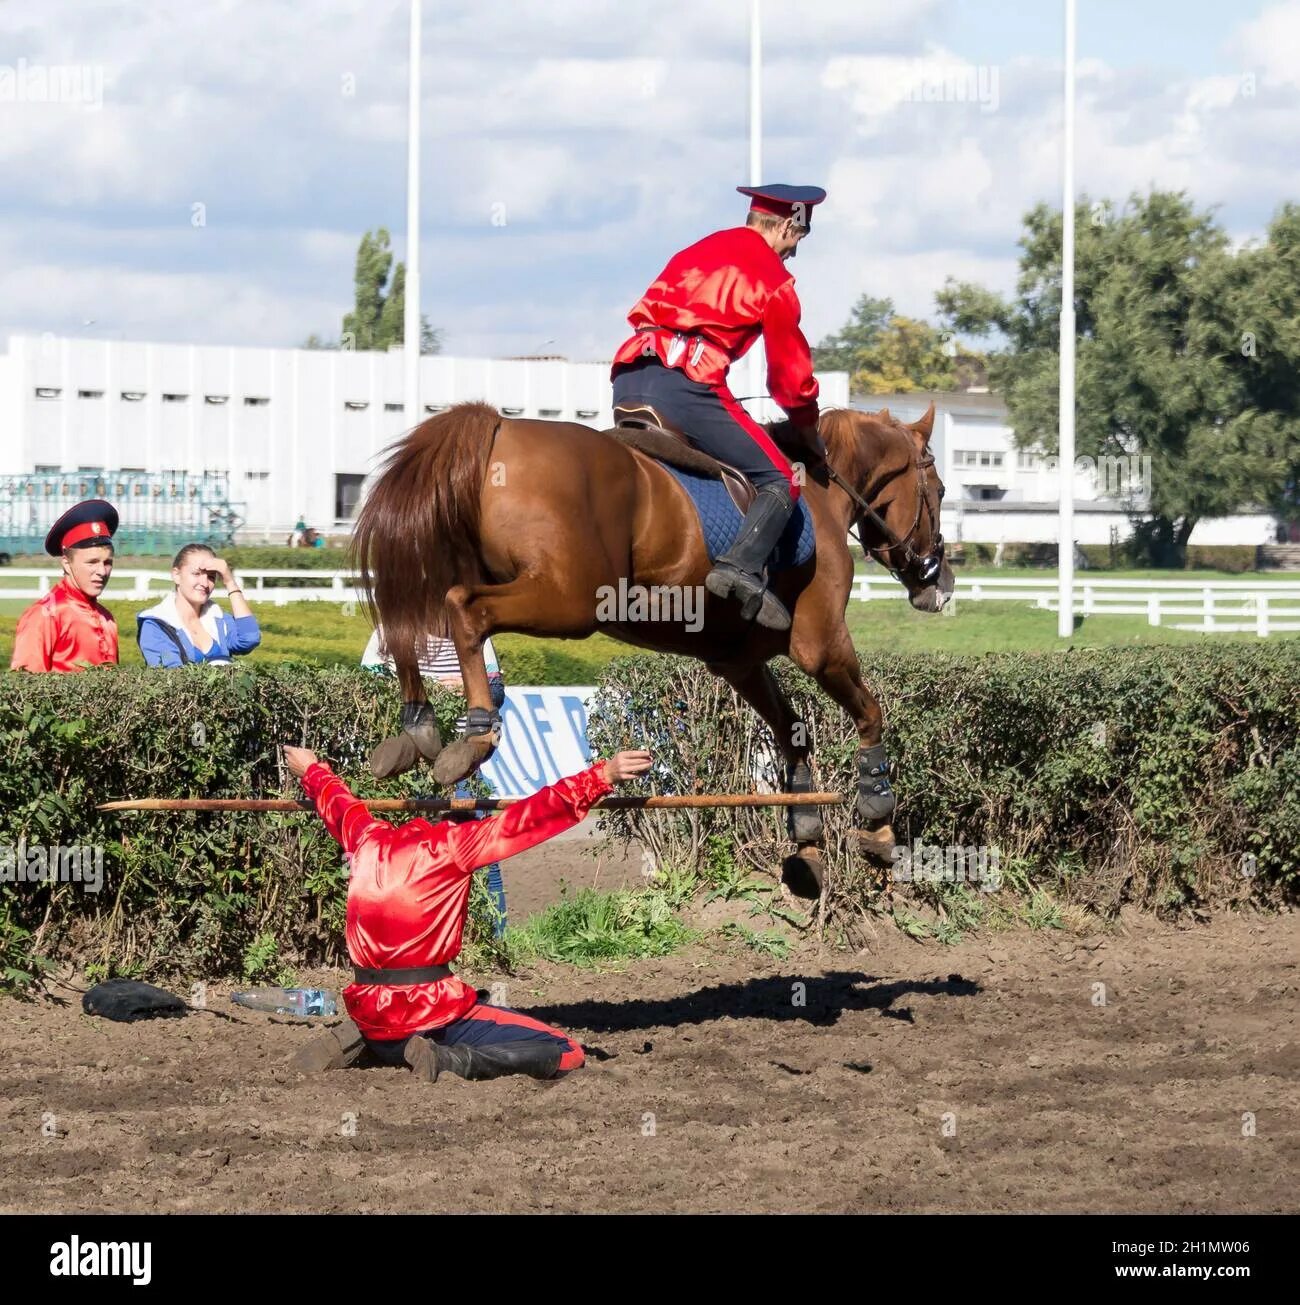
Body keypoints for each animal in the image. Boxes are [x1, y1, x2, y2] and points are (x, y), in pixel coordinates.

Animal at [349, 401, 950, 892]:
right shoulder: (821, 644)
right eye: (941, 492)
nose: (937, 585)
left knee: (409, 620)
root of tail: (499, 428)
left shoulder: (739, 661)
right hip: (568, 600)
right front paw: (878, 815)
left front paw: (806, 836)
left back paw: (416, 729)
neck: (824, 496)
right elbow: (870, 712)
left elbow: (793, 731)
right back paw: (474, 735)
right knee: (463, 611)